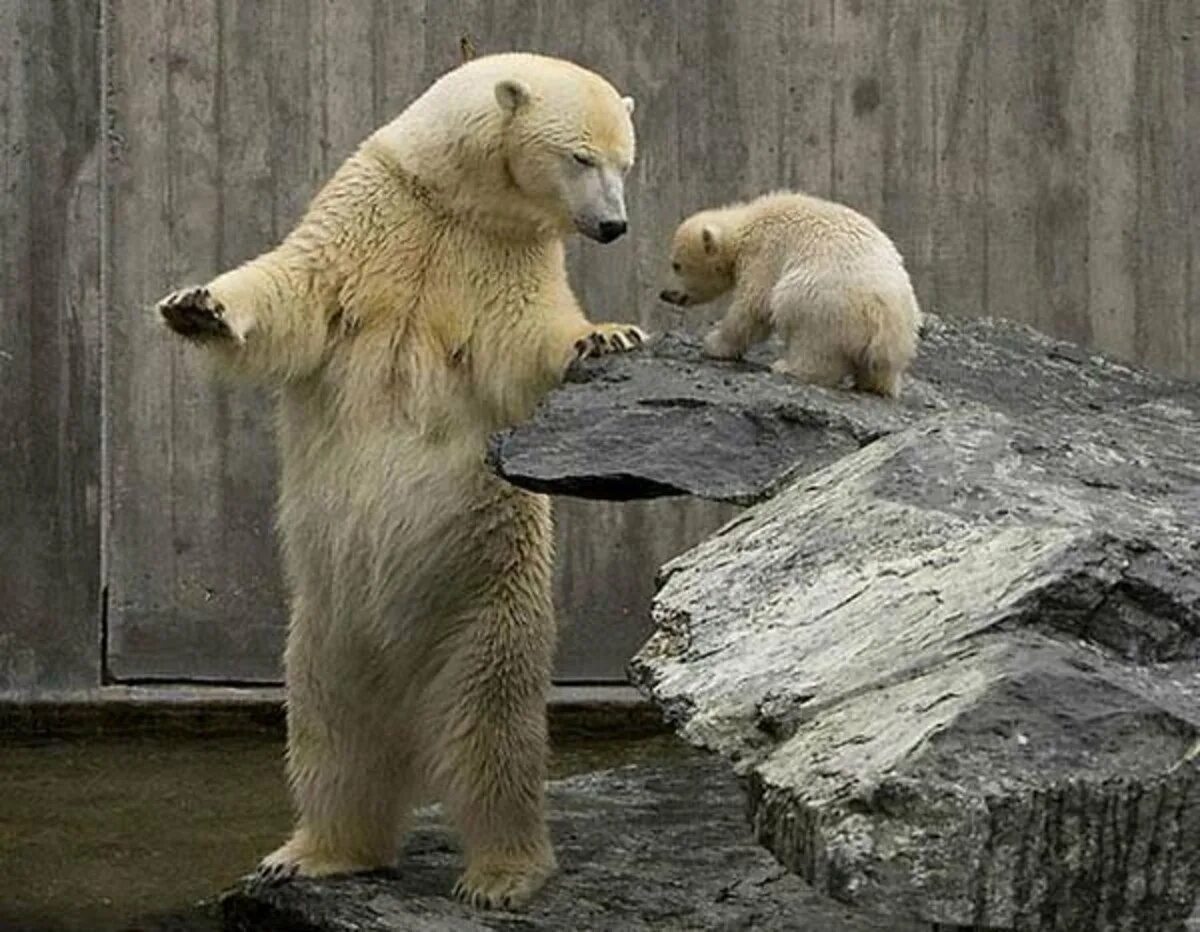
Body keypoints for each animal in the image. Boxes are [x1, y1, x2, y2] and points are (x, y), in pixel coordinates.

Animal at [162, 54, 648, 906]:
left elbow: (528, 338)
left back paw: (501, 873)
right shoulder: (372, 213)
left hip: (489, 606)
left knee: (493, 741)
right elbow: (293, 290)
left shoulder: (504, 256)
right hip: (323, 630)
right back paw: (315, 851)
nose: (613, 227)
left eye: (627, 162)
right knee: (333, 739)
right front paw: (196, 306)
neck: (454, 199)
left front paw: (606, 335)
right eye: (582, 158)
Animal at [662, 189, 921, 395]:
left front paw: (713, 343)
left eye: (676, 265)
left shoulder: (766, 253)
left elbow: (753, 306)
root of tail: (883, 321)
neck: (745, 226)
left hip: (823, 302)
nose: (665, 294)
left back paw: (787, 366)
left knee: (807, 332)